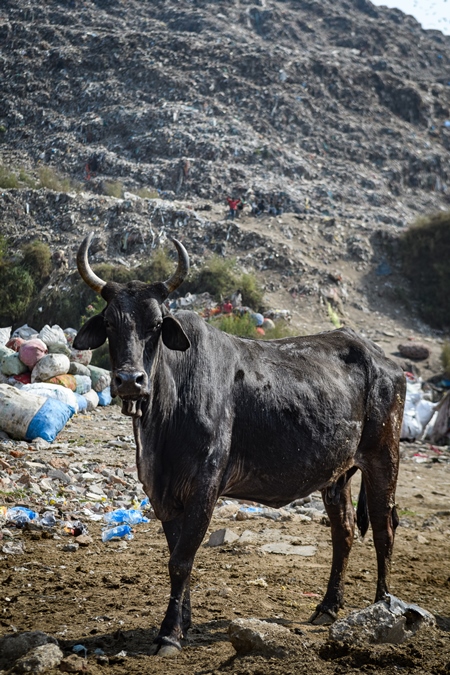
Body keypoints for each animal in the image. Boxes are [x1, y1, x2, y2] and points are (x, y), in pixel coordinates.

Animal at [73, 235, 404, 656]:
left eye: (156, 324)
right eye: (110, 323)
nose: (130, 380)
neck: (163, 418)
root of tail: (380, 359)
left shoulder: (205, 485)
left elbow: (182, 559)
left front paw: (169, 634)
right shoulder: (162, 493)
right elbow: (178, 555)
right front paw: (183, 622)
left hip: (384, 456)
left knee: (383, 529)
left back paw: (382, 606)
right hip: (337, 474)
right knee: (343, 531)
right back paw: (328, 607)